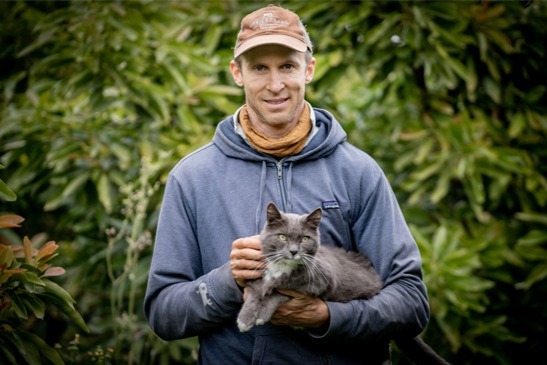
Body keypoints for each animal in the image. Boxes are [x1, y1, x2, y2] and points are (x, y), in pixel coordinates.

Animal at [238, 202, 452, 364]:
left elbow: (280, 292)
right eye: (282, 236)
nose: (293, 251)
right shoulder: (257, 274)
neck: (281, 267)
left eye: (305, 239)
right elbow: (255, 291)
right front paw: (245, 318)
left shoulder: (318, 282)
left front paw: (261, 315)